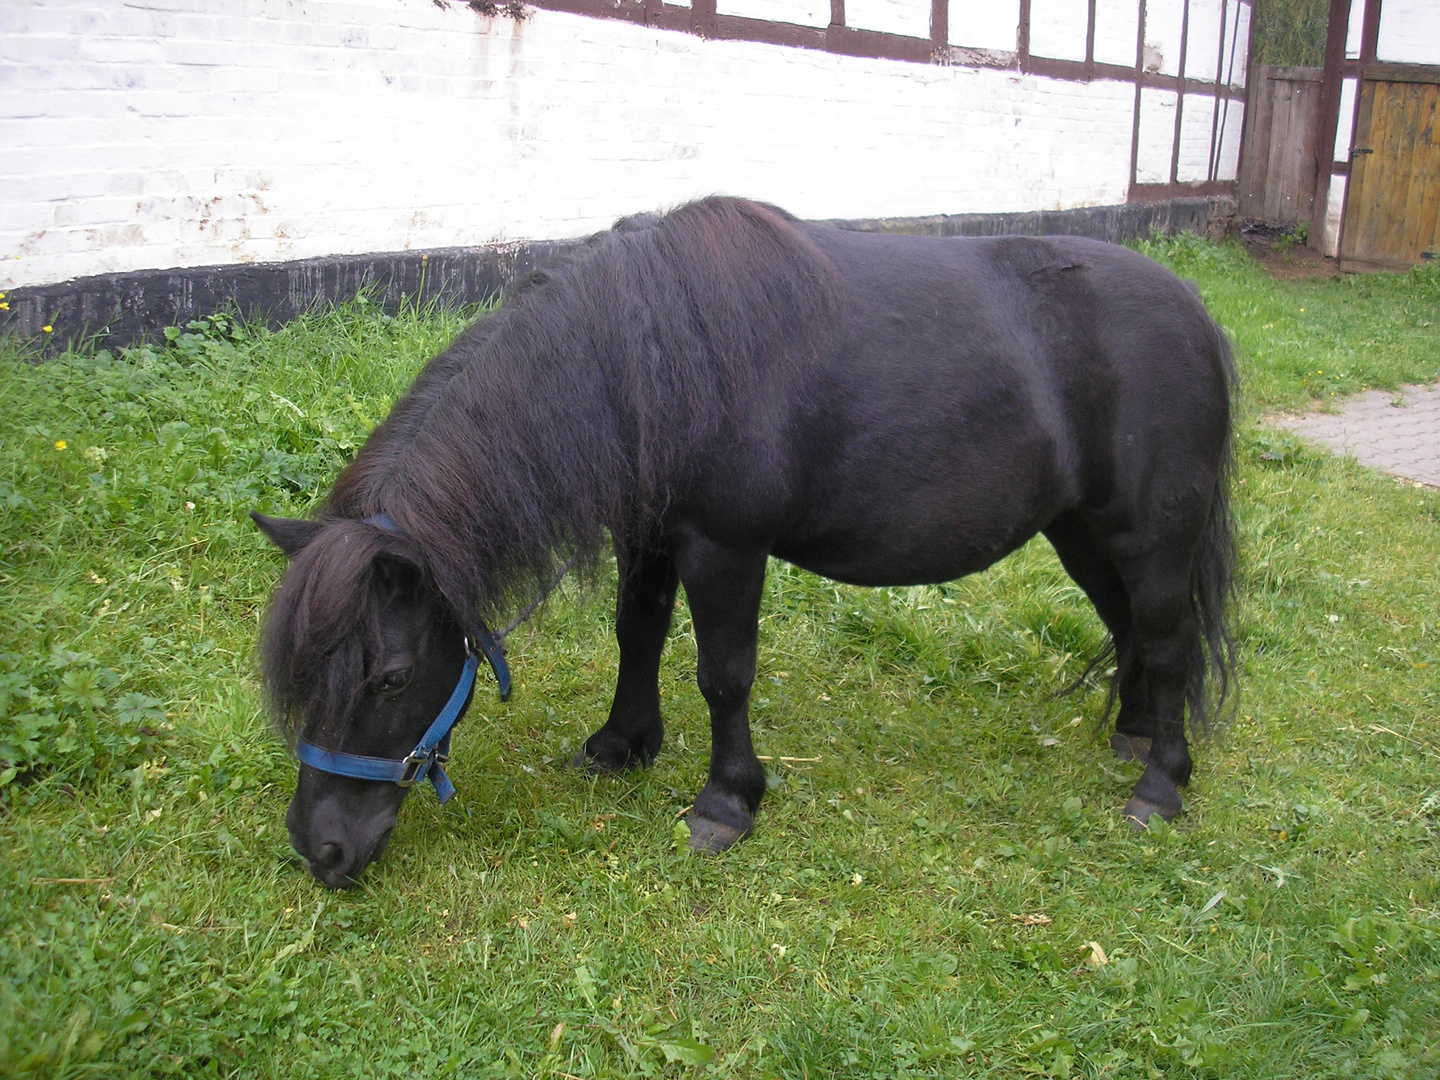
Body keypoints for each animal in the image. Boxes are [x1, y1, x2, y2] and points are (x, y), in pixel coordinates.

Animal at [250, 198, 1238, 892]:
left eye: (388, 678)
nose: (319, 847)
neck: (649, 355)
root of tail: (1196, 313)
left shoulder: (724, 547)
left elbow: (722, 674)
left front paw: (726, 803)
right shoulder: (648, 534)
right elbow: (638, 636)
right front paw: (621, 743)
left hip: (1151, 537)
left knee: (1168, 638)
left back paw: (1161, 784)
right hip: (1085, 535)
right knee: (1134, 633)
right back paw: (1134, 735)